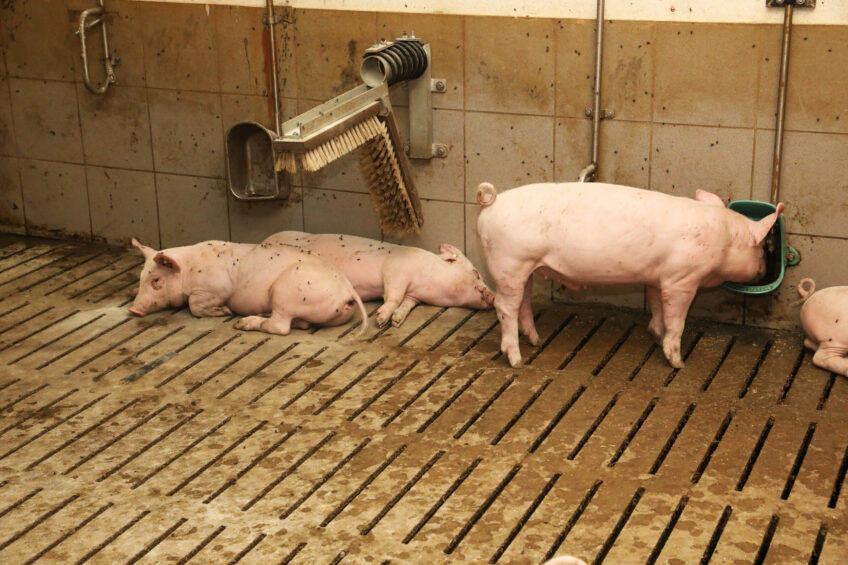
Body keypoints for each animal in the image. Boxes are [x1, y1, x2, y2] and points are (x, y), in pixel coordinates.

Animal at [129, 239, 368, 336]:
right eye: (141, 277)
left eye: (156, 280)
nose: (134, 309)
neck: (190, 268)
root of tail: (347, 290)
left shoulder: (216, 288)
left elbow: (194, 305)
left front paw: (223, 311)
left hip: (286, 292)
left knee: (280, 327)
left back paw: (243, 323)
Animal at [261, 231, 495, 328]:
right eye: (476, 273)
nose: (493, 296)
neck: (427, 283)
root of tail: (265, 239)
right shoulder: (395, 272)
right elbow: (393, 297)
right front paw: (381, 320)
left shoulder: (414, 296)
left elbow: (406, 304)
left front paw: (396, 321)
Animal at [476, 181, 785, 369]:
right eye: (762, 249)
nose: (763, 270)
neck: (723, 237)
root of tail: (490, 204)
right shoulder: (681, 279)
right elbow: (677, 320)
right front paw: (678, 362)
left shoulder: (657, 278)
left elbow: (658, 308)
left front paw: (656, 336)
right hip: (511, 261)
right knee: (504, 306)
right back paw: (517, 361)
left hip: (523, 267)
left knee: (522, 303)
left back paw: (535, 340)